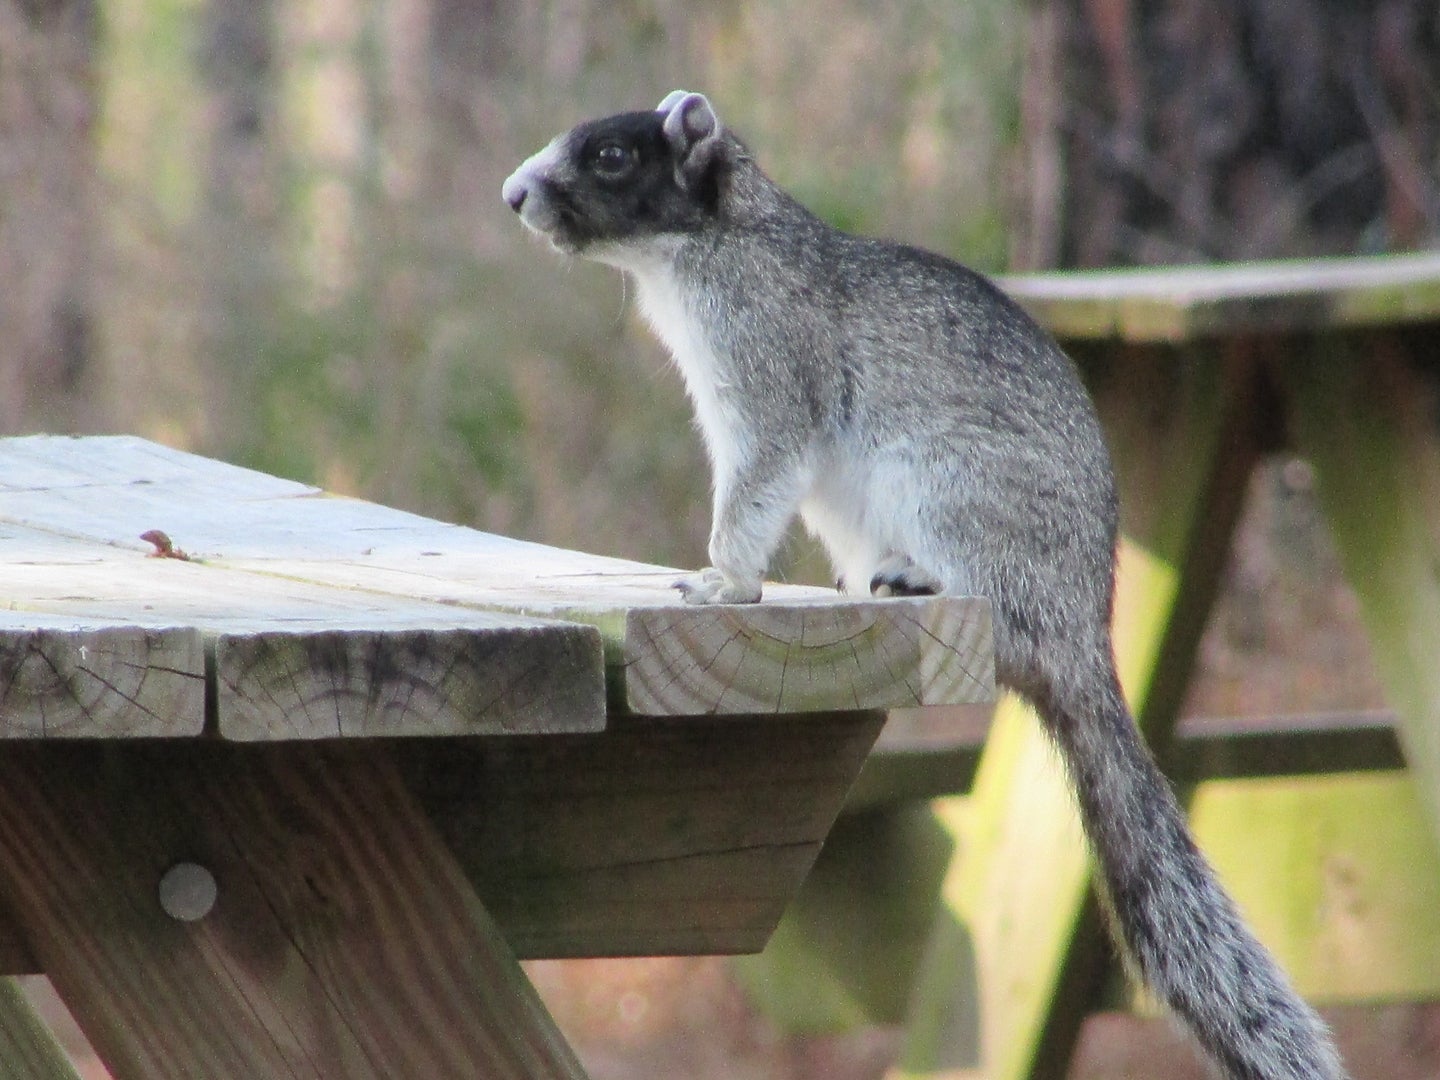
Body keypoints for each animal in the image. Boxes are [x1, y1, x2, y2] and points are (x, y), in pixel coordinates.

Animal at [501, 91, 1342, 1080]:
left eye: (613, 156)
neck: (713, 243)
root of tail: (1076, 629)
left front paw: (723, 580)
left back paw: (915, 573)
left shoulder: (768, 356)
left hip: (949, 489)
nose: (515, 194)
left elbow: (761, 473)